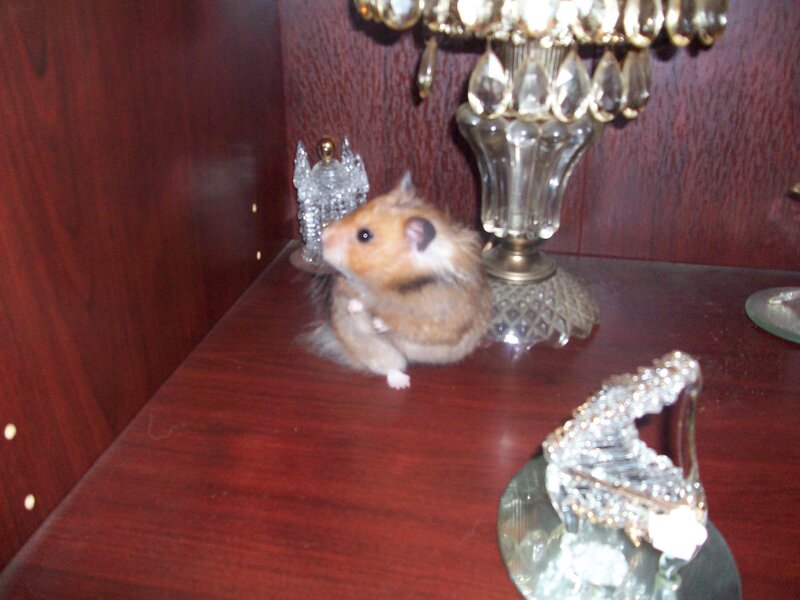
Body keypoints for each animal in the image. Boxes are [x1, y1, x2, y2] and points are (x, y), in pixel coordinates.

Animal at [309, 174, 492, 389]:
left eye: (364, 235)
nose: (322, 236)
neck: (394, 284)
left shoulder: (435, 318)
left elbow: (402, 321)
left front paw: (378, 324)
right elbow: (361, 297)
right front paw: (353, 309)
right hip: (372, 347)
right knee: (390, 365)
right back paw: (402, 382)